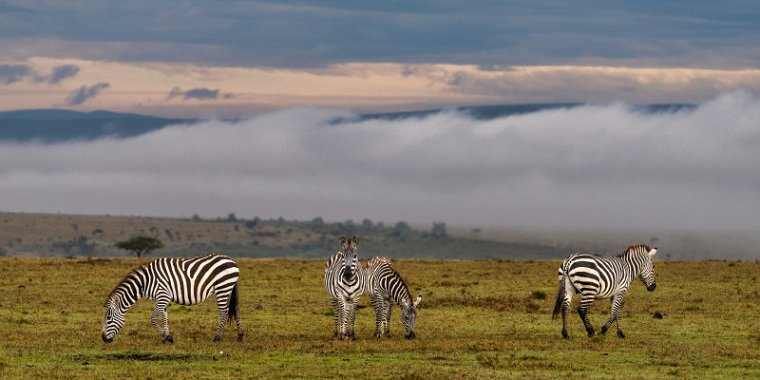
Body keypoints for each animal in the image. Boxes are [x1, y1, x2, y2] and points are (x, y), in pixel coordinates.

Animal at [101, 254, 242, 342]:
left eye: (108, 319)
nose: (103, 339)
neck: (146, 283)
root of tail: (231, 260)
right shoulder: (161, 298)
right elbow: (164, 317)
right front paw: (167, 336)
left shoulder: (162, 295)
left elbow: (153, 319)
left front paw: (165, 336)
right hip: (228, 288)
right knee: (236, 309)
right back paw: (240, 336)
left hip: (222, 287)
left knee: (224, 312)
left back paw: (217, 337)